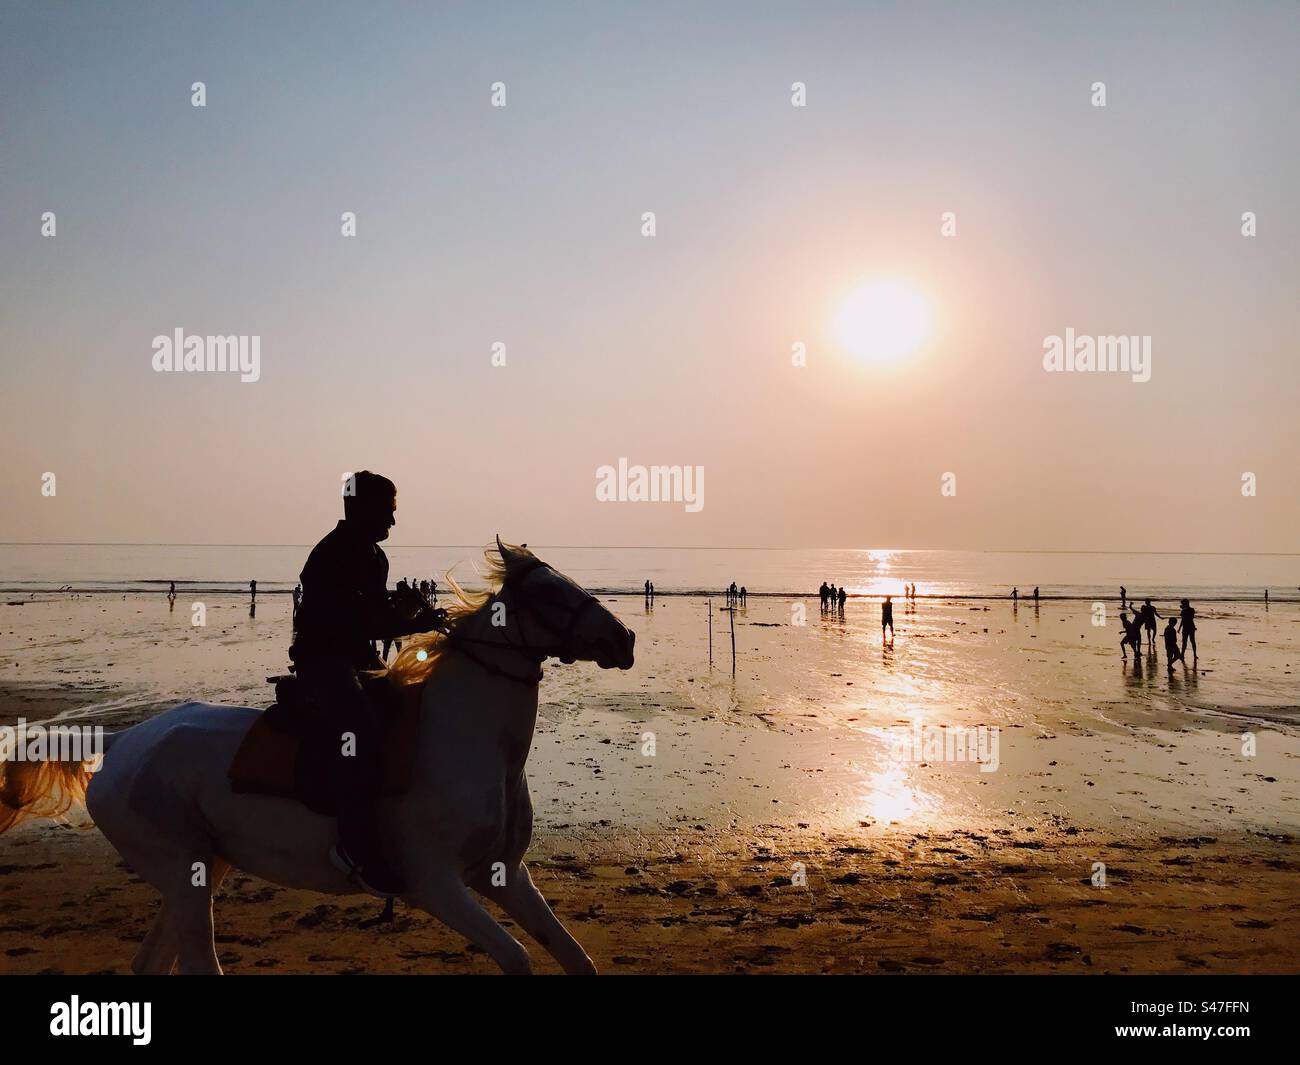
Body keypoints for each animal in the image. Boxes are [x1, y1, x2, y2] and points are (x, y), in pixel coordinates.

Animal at [1, 540, 634, 972]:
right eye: (547, 594)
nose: (623, 639)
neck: (467, 741)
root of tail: (120, 742)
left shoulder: (503, 876)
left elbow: (574, 957)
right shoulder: (436, 885)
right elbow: (519, 957)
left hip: (203, 869)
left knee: (151, 963)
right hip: (184, 873)